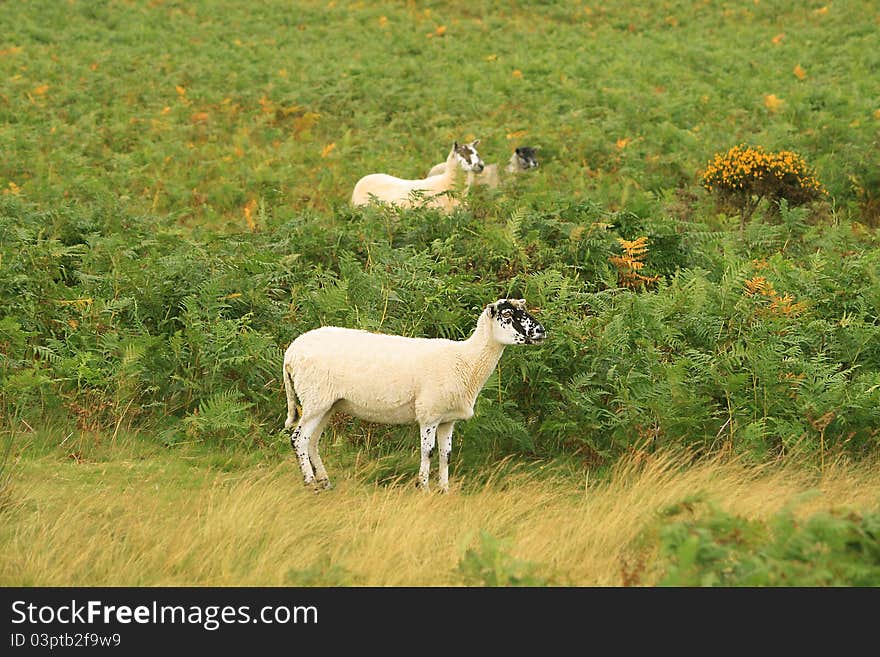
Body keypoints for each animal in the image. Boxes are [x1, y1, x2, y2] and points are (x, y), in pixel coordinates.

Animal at [284, 298, 544, 492]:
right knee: (299, 439)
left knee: (312, 442)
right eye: (508, 315)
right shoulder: (429, 414)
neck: (466, 361)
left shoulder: (447, 419)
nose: (541, 331)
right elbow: (428, 452)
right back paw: (310, 484)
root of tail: (291, 352)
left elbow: (446, 455)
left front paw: (444, 490)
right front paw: (424, 488)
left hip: (326, 404)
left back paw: (325, 483)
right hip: (315, 399)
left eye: (524, 309)